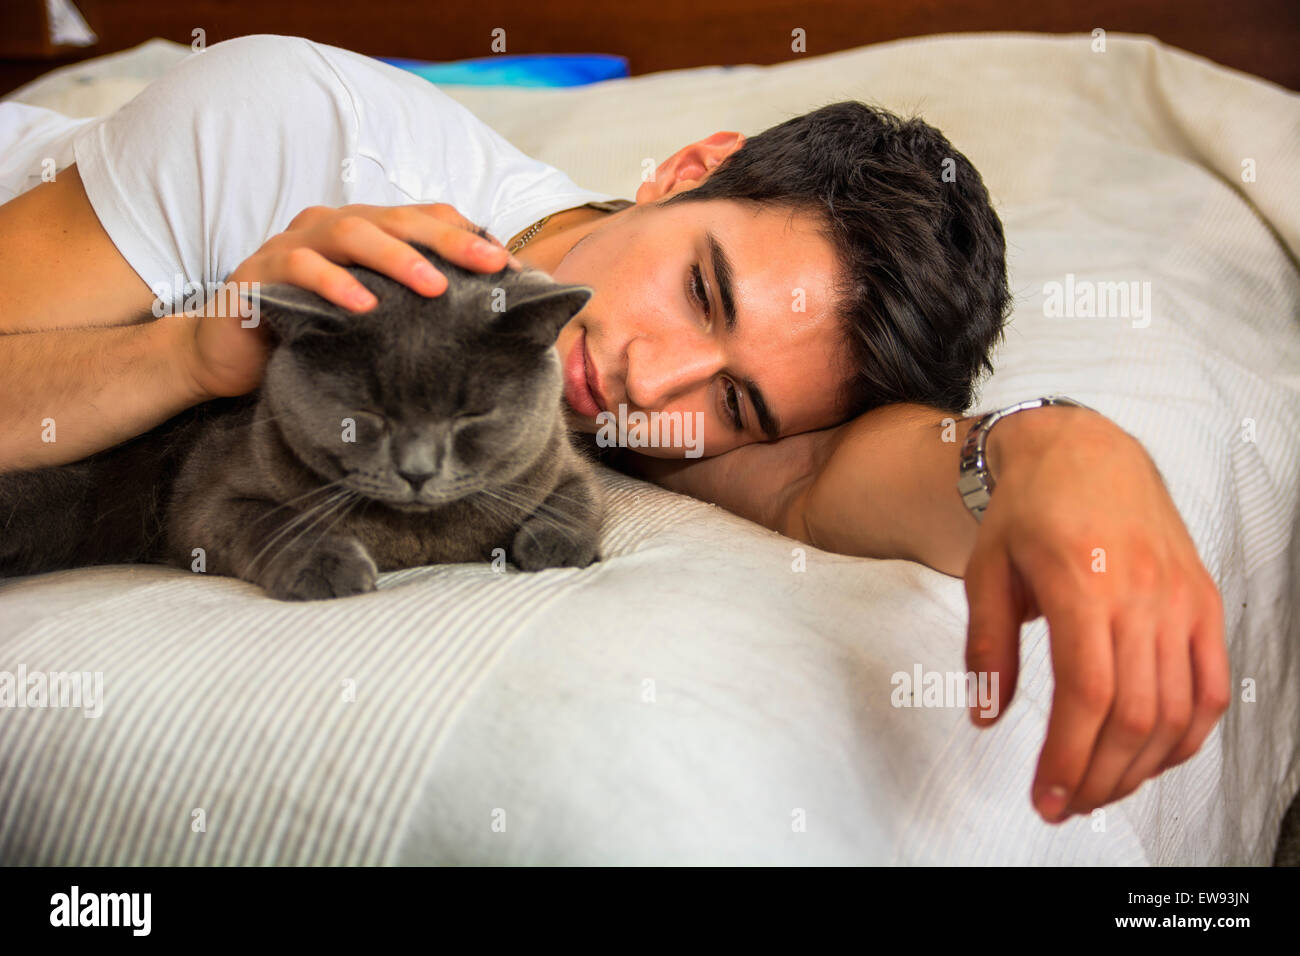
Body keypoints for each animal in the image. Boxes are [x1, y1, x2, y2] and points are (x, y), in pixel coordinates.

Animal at [0, 243, 603, 598]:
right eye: (365, 414)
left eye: (472, 414)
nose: (417, 471)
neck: (419, 541)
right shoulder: (204, 503)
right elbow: (266, 522)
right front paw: (328, 567)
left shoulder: (558, 459)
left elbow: (579, 499)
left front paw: (555, 546)